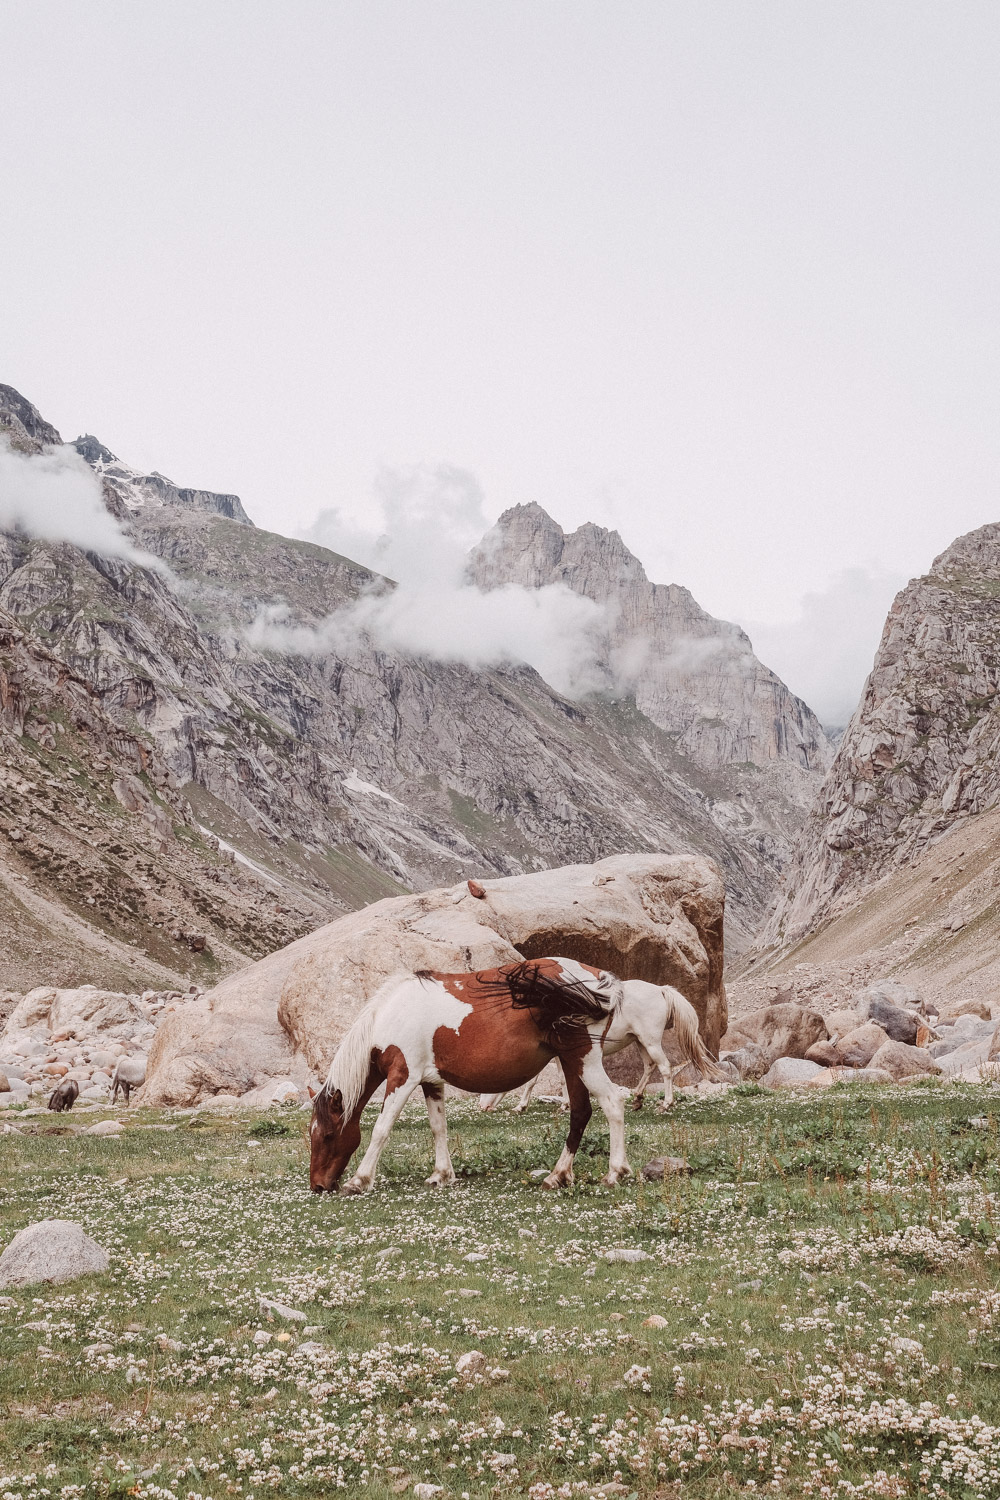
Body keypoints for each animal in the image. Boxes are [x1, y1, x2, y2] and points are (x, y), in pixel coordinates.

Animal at [310, 957, 637, 1194]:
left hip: (584, 1060)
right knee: (580, 1113)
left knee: (613, 1103)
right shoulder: (431, 1082)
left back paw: (615, 1173)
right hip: (572, 1063)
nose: (318, 1186)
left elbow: (381, 1129)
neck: (392, 1016)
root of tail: (598, 978)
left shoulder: (403, 1077)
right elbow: (438, 1127)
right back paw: (558, 1176)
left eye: (327, 1135)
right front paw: (441, 1174)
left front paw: (359, 1180)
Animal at [479, 978, 721, 1114]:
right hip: (640, 1041)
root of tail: (660, 989)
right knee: (649, 1066)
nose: (483, 1107)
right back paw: (637, 1099)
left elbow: (537, 1081)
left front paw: (522, 1106)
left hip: (650, 1041)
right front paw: (565, 1104)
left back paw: (666, 1104)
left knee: (665, 1068)